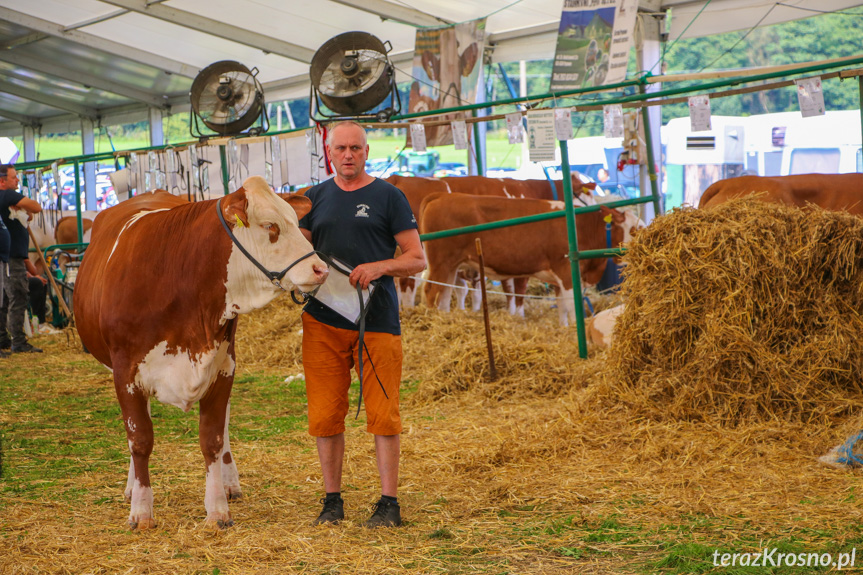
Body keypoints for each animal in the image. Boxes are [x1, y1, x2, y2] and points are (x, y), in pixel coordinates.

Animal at [72, 176, 330, 532]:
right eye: (270, 226)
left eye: (295, 220)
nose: (320, 269)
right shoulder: (125, 372)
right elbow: (139, 438)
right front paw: (141, 511)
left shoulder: (222, 366)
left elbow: (213, 439)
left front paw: (217, 508)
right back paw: (131, 487)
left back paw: (230, 480)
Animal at [418, 194, 640, 326]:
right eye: (634, 229)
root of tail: (443, 196)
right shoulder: (566, 272)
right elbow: (571, 305)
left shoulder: (558, 278)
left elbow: (561, 306)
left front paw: (564, 328)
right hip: (440, 263)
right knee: (430, 291)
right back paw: (430, 322)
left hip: (451, 266)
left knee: (444, 293)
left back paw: (444, 318)